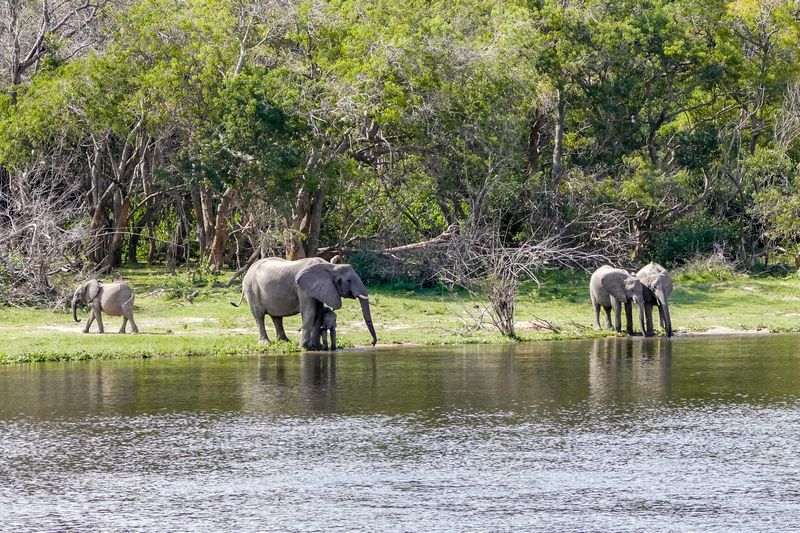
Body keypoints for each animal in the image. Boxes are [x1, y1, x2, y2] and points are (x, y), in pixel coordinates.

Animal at [234, 256, 378, 350]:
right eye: (348, 280)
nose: (372, 343)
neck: (330, 266)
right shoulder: (303, 289)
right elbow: (310, 312)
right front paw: (304, 348)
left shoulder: (320, 288)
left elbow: (318, 313)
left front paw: (316, 347)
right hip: (251, 288)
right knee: (259, 315)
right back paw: (266, 344)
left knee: (277, 317)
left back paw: (285, 342)